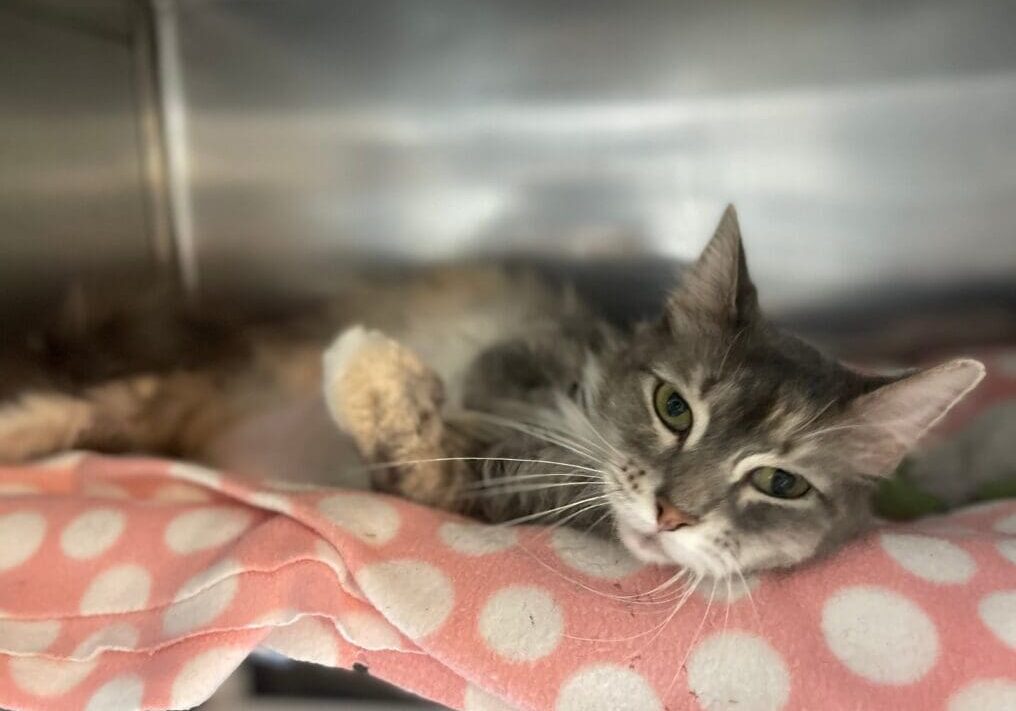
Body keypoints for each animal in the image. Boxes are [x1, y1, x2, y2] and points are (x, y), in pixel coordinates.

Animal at [331, 204, 983, 576]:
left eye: (782, 485)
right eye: (673, 409)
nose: (671, 515)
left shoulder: (492, 489)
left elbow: (425, 452)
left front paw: (357, 365)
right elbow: (512, 365)